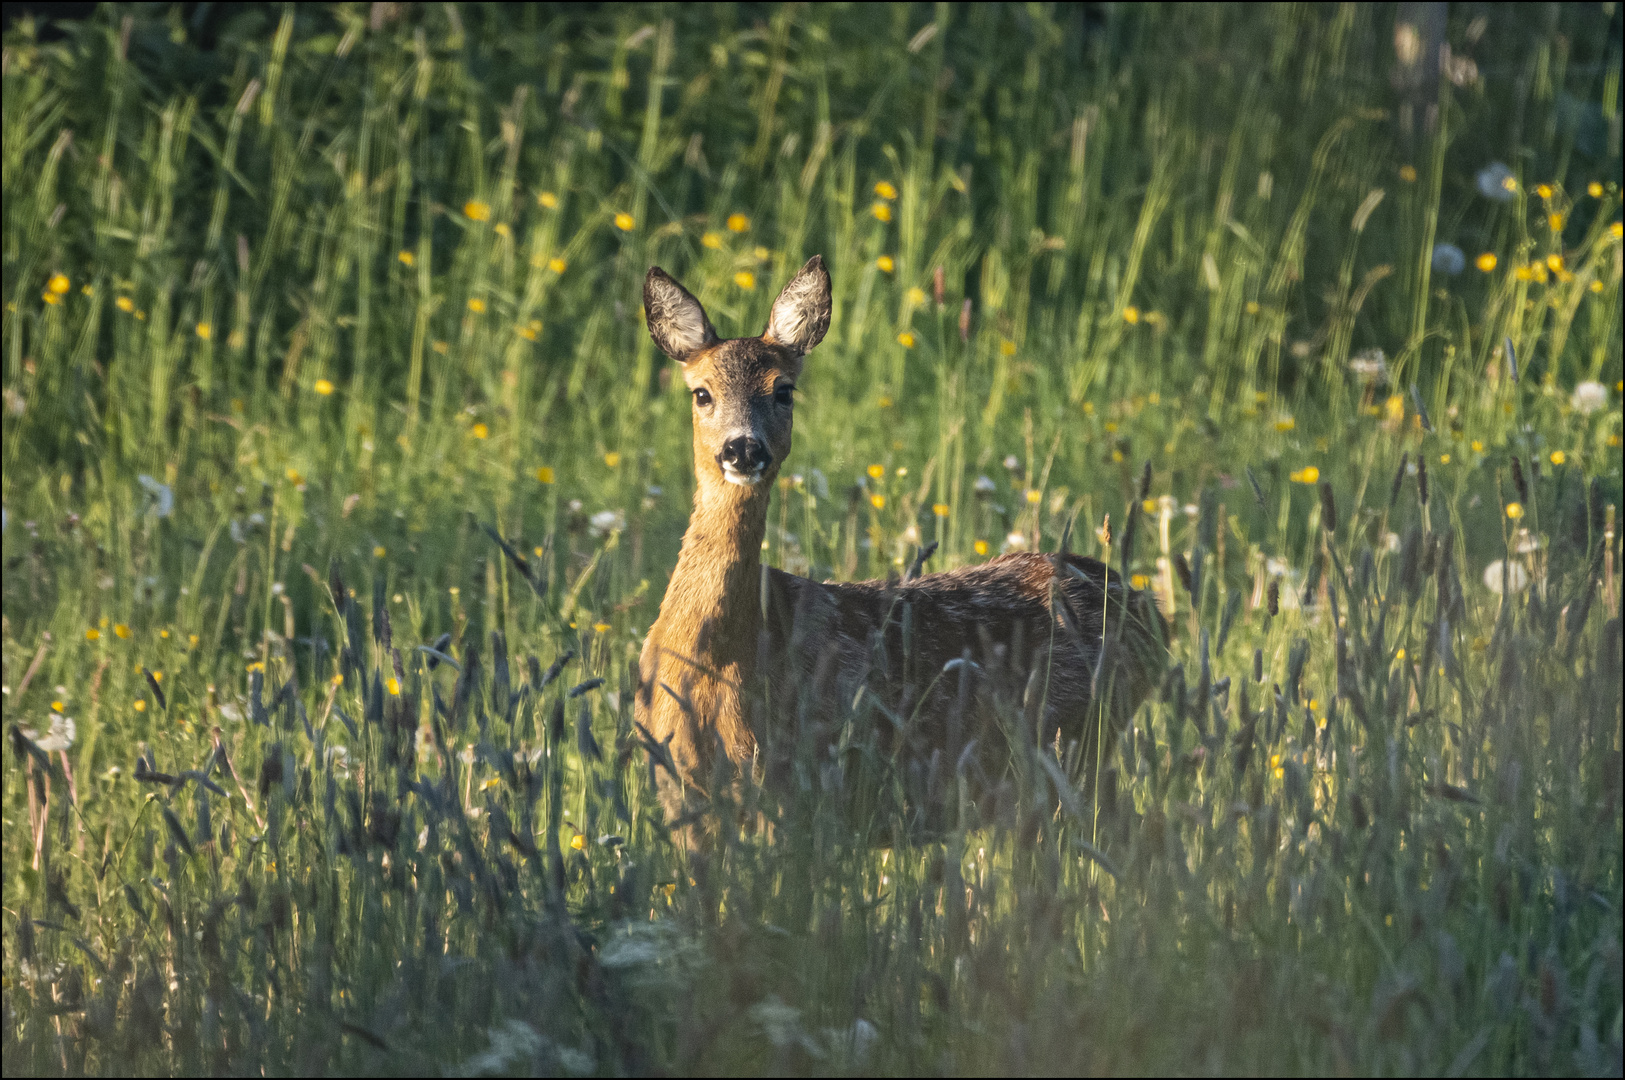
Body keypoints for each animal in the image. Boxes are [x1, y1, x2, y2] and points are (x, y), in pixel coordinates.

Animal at [633, 256, 1170, 838]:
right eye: (701, 393)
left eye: (784, 390)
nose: (743, 449)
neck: (715, 656)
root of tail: (1150, 611)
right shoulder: (677, 787)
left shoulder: (784, 781)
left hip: (1069, 745)